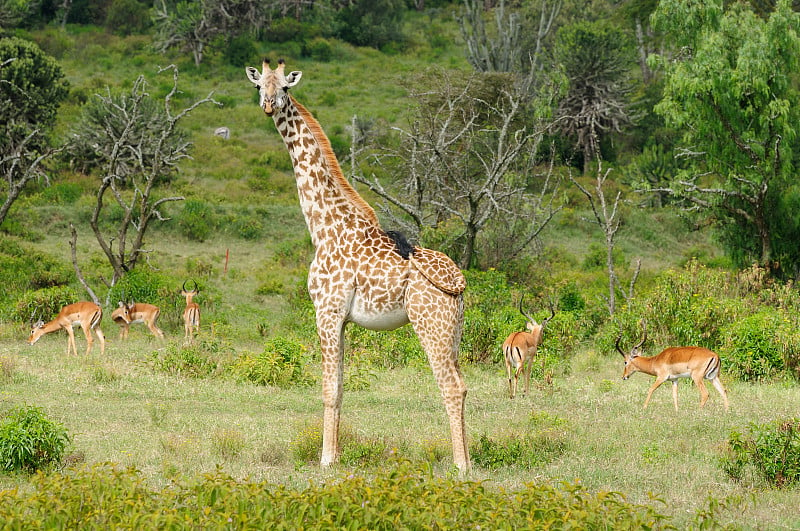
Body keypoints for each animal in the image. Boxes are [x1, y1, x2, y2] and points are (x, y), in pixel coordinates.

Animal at [244, 60, 468, 472]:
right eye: (259, 86)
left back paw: (462, 465)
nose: (268, 105)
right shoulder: (343, 319)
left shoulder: (326, 310)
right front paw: (332, 454)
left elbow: (329, 389)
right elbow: (342, 386)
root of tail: (459, 282)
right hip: (454, 331)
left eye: (285, 87)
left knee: (451, 386)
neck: (323, 226)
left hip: (430, 325)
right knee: (462, 384)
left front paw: (326, 459)